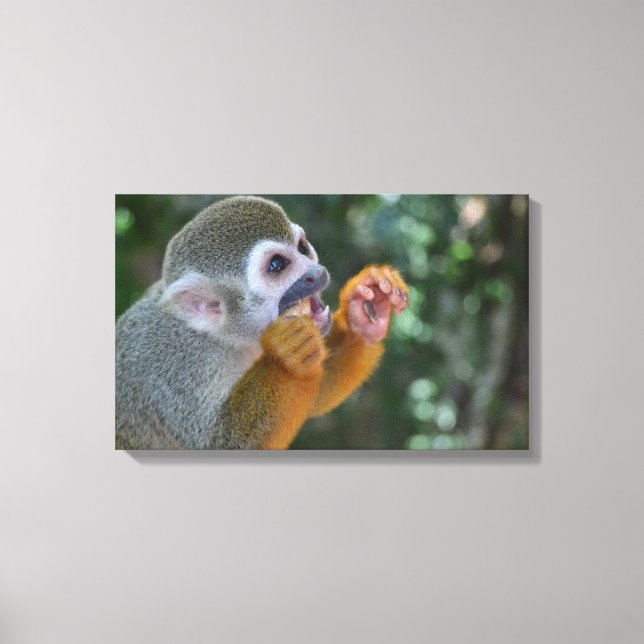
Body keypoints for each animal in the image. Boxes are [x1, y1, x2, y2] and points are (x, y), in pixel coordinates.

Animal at [116, 196, 409, 449]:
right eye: (277, 265)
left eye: (302, 247)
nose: (316, 273)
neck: (225, 337)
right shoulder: (177, 368)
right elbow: (221, 443)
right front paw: (287, 358)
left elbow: (315, 396)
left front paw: (360, 316)